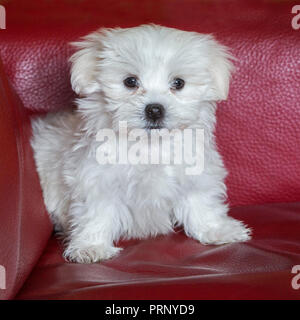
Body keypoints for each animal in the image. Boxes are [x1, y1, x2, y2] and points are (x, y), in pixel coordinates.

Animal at [31, 25, 251, 264]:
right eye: (130, 81)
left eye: (178, 83)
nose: (154, 109)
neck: (149, 146)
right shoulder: (96, 178)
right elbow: (97, 212)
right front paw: (91, 247)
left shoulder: (194, 173)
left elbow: (201, 202)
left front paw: (217, 229)